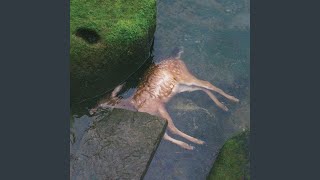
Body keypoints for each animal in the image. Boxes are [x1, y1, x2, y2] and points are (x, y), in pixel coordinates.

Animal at [89, 47, 239, 150]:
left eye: (103, 102)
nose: (90, 111)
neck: (134, 104)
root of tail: (176, 57)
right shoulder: (154, 115)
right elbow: (165, 135)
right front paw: (186, 145)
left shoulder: (159, 106)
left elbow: (172, 128)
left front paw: (196, 142)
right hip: (181, 87)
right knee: (203, 88)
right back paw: (223, 106)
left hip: (184, 75)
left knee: (207, 84)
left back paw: (233, 100)